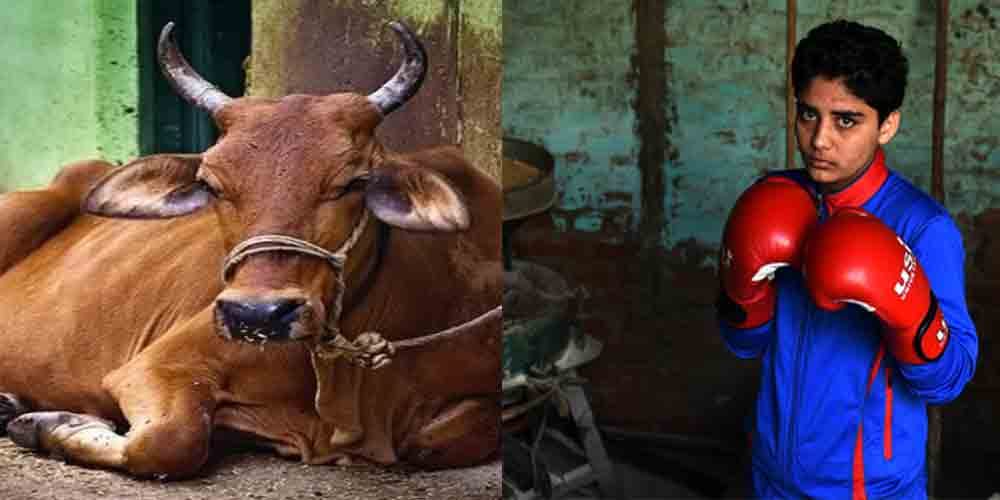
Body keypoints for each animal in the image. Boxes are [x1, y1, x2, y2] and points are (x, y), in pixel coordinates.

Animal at [0, 21, 501, 478]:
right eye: (211, 184)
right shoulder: (157, 366)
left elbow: (433, 442)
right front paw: (53, 427)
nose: (257, 315)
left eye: (354, 182)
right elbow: (170, 441)